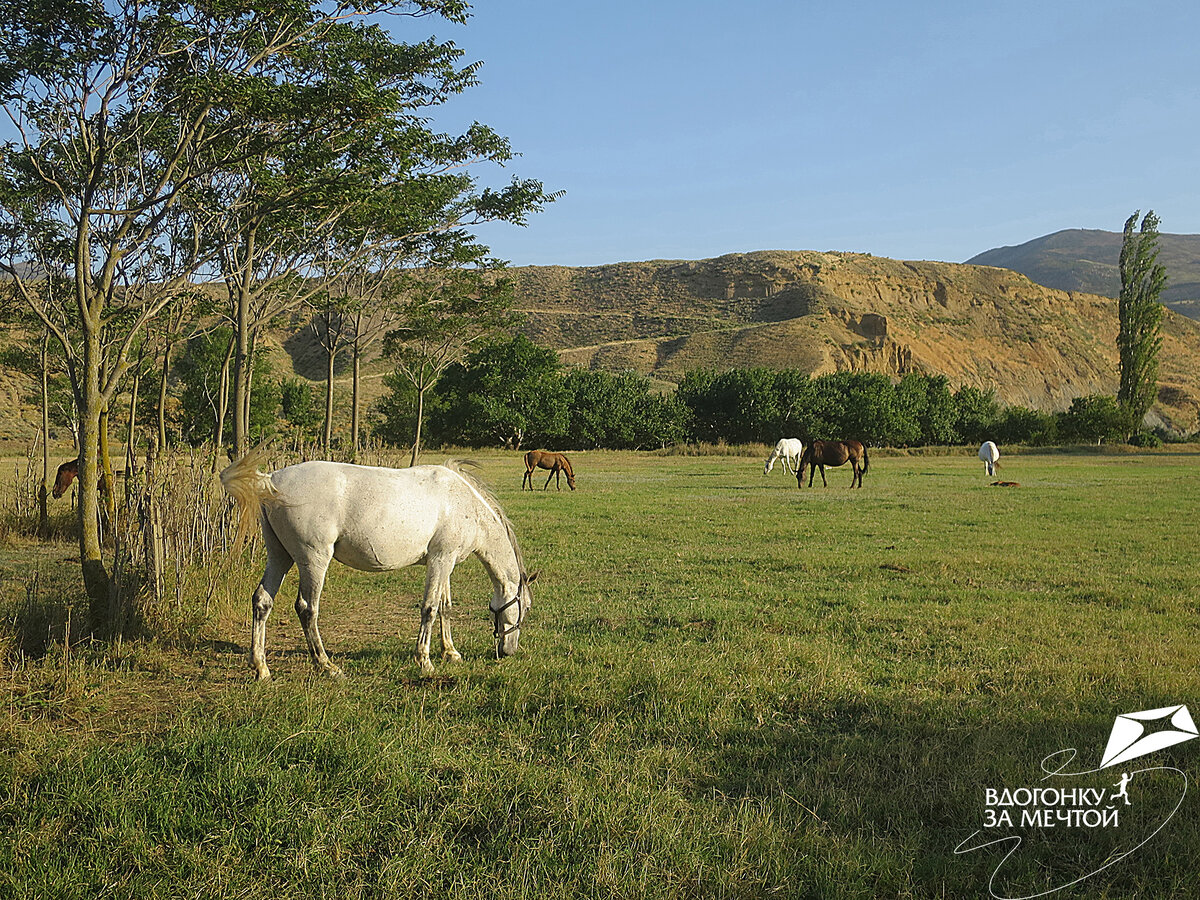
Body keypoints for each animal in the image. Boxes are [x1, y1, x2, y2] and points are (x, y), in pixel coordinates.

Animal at [222, 453, 540, 681]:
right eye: (524, 609)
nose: (509, 651)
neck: (462, 503)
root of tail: (271, 479)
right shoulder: (440, 560)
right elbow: (429, 608)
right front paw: (425, 661)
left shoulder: (444, 562)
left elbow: (445, 607)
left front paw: (450, 652)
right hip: (313, 559)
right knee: (306, 609)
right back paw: (327, 666)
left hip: (280, 556)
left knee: (262, 601)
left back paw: (261, 668)